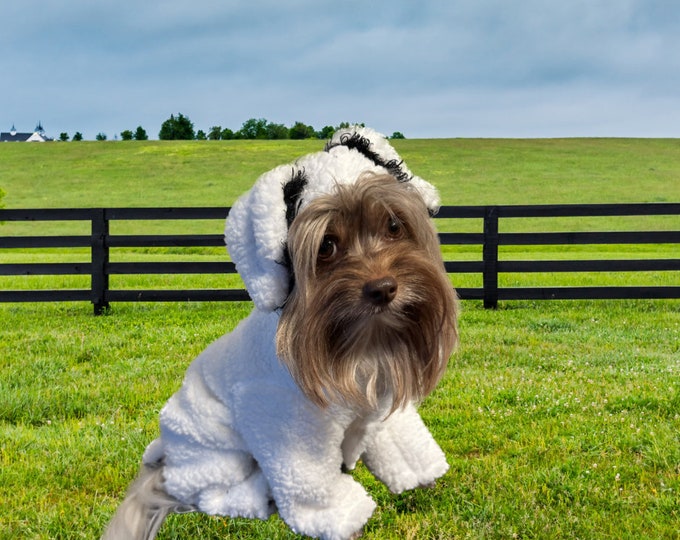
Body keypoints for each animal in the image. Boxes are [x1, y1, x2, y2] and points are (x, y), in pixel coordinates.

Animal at [101, 127, 460, 540]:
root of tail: (162, 454)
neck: (360, 344)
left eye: (394, 225)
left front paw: (420, 472)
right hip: (215, 448)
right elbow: (313, 481)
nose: (383, 288)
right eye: (326, 245)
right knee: (208, 492)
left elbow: (397, 438)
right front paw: (344, 515)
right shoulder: (284, 421)